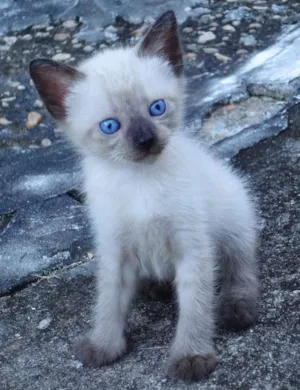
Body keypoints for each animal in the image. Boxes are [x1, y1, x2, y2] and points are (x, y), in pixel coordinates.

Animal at [31, 11, 260, 380]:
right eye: (110, 126)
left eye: (157, 108)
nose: (145, 140)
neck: (139, 181)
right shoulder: (115, 249)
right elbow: (108, 304)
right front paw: (103, 347)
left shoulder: (192, 248)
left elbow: (195, 307)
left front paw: (191, 357)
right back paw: (154, 286)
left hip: (234, 219)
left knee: (239, 266)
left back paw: (237, 307)